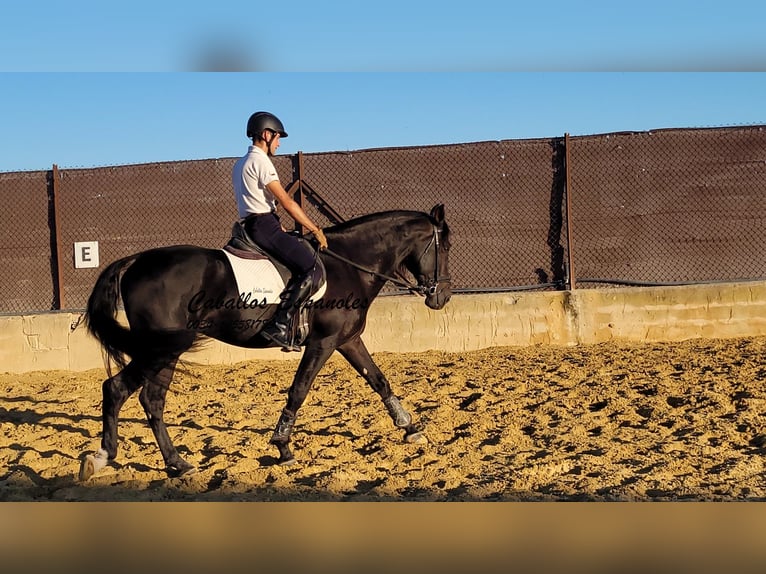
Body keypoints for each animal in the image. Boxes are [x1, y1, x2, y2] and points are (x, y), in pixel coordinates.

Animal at [79, 204, 450, 482]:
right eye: (445, 246)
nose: (442, 297)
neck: (349, 264)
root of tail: (136, 261)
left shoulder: (348, 339)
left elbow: (378, 379)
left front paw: (410, 427)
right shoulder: (324, 342)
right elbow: (299, 390)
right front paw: (283, 446)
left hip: (164, 351)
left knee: (146, 398)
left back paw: (173, 463)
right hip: (164, 348)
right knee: (123, 390)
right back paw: (107, 458)